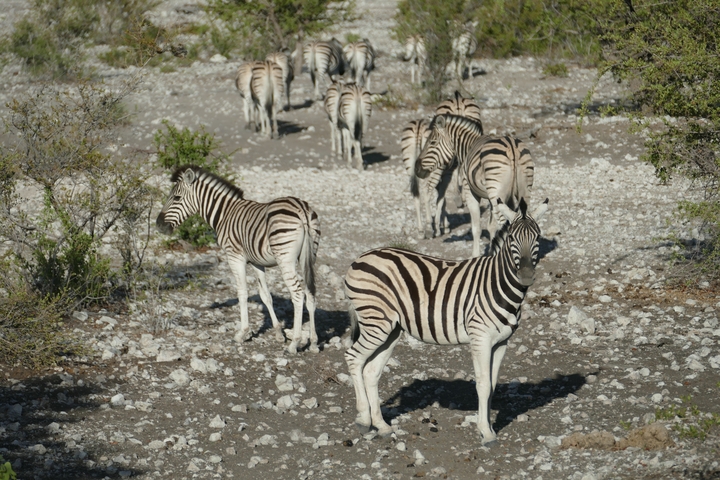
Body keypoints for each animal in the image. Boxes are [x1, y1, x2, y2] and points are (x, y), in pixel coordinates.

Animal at [156, 165, 321, 354]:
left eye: (176, 198)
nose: (158, 225)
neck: (224, 214)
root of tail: (301, 209)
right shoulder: (257, 262)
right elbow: (266, 296)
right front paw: (279, 333)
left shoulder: (235, 257)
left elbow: (242, 293)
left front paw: (242, 333)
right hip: (308, 257)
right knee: (310, 293)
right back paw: (314, 342)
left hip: (285, 259)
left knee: (298, 294)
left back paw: (295, 343)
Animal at [344, 197, 549, 444]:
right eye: (511, 238)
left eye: (538, 237)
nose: (526, 276)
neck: (498, 284)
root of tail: (361, 257)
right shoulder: (480, 338)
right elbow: (483, 384)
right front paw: (486, 432)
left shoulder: (501, 342)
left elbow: (492, 385)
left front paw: (488, 426)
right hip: (376, 322)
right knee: (353, 358)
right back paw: (364, 420)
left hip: (390, 329)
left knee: (371, 371)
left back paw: (382, 426)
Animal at [416, 114, 535, 257]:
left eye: (432, 143)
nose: (416, 169)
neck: (468, 146)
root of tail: (512, 147)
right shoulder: (495, 197)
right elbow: (491, 226)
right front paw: (491, 252)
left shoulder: (470, 192)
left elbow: (476, 228)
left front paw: (476, 255)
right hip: (524, 191)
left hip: (498, 194)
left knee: (502, 222)